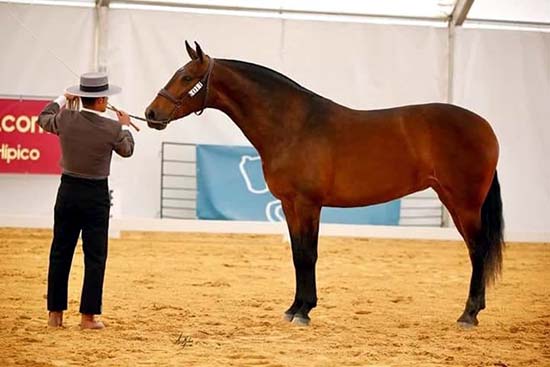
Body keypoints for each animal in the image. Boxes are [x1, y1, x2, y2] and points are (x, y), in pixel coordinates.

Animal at [146, 42, 504, 328]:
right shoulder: (290, 204)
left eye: (186, 78)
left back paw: (468, 315)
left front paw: (304, 312)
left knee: (477, 250)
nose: (151, 113)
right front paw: (294, 308)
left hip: (464, 203)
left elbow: (309, 254)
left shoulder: (308, 204)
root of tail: (485, 126)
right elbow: (297, 254)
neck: (293, 125)